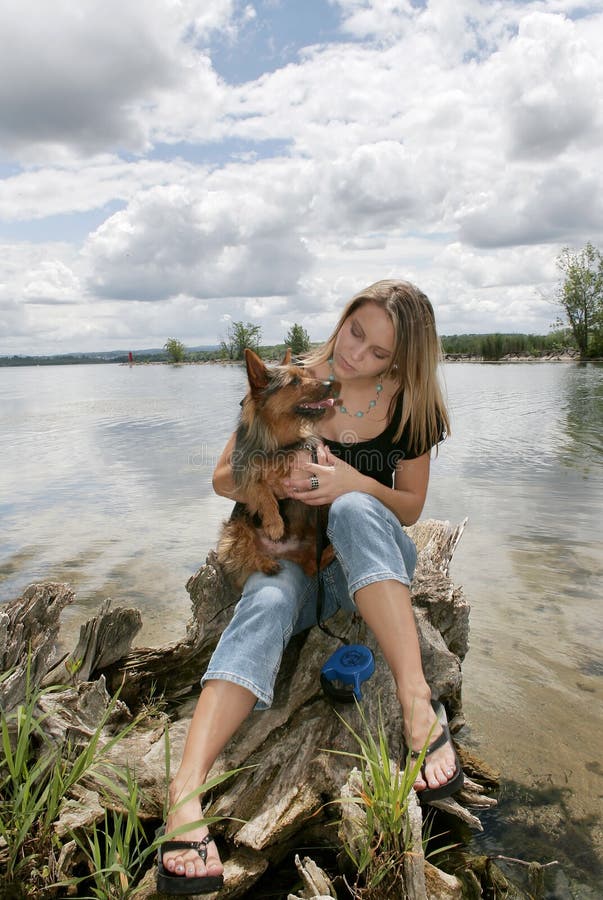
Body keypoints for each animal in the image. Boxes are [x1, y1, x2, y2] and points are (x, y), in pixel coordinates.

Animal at [216, 350, 340, 592]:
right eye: (294, 382)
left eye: (306, 374)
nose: (331, 383)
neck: (281, 442)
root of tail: (284, 554)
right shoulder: (244, 472)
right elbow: (260, 488)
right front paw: (274, 523)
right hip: (233, 530)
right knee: (245, 556)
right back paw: (266, 563)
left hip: (314, 532)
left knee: (313, 566)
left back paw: (332, 551)